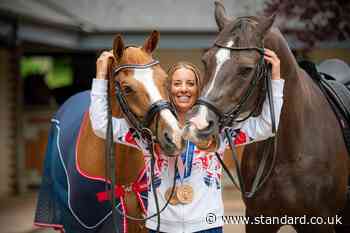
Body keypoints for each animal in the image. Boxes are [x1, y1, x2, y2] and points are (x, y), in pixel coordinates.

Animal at [183, 0, 350, 232]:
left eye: (246, 69)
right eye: (206, 61)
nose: (199, 123)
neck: (287, 152)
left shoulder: (319, 222)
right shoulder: (258, 219)